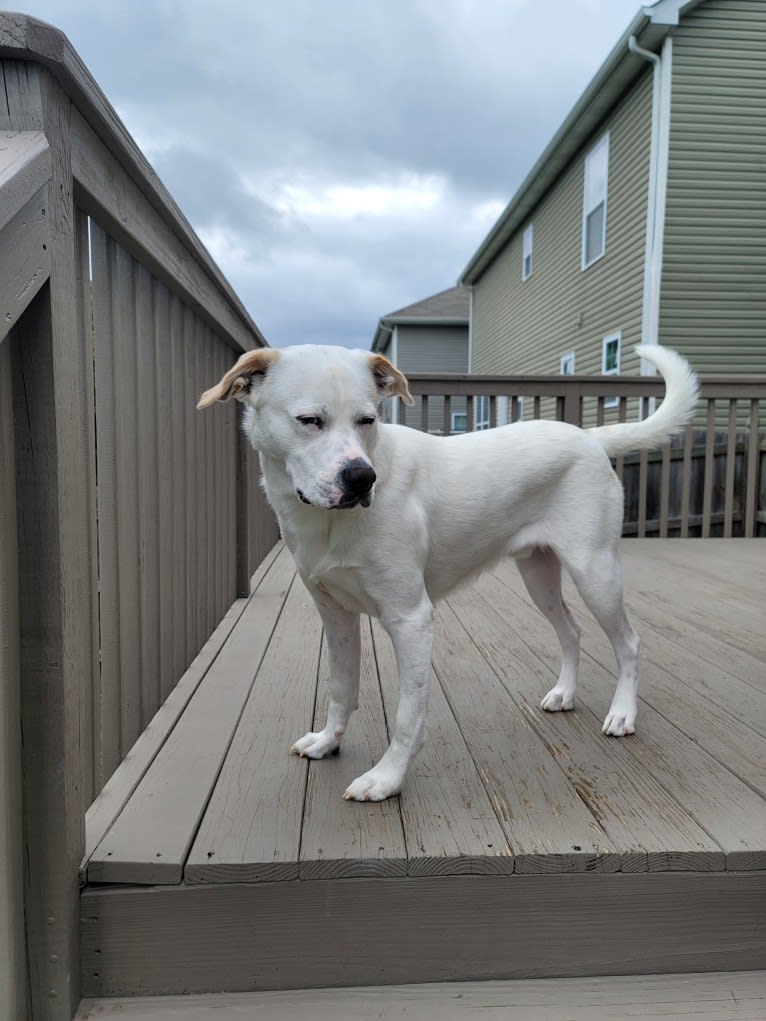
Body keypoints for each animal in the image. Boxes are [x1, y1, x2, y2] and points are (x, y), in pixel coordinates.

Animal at [199, 347, 702, 800]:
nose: (362, 479)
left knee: (629, 642)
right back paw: (564, 693)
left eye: (368, 420)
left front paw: (386, 779)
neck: (327, 522)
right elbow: (342, 688)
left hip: (594, 570)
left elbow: (407, 715)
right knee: (572, 631)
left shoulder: (411, 619)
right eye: (308, 420)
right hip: (538, 574)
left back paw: (623, 715)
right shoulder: (335, 613)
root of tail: (590, 437)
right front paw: (327, 742)